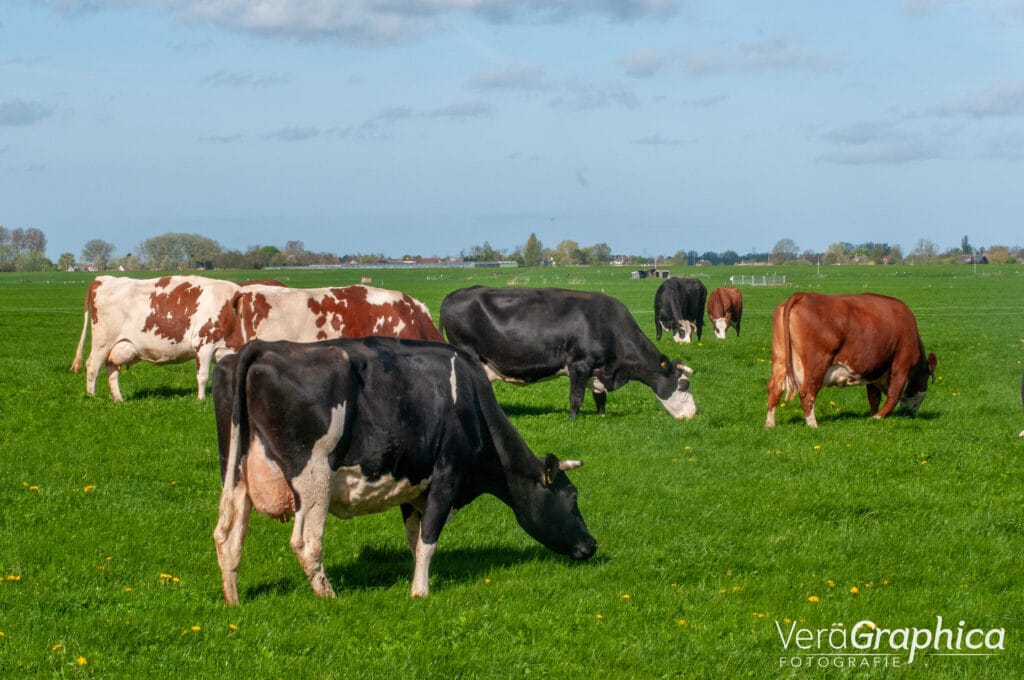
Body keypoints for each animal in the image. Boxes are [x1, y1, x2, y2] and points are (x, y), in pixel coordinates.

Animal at [71, 275, 249, 402]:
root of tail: (102, 279)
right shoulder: (203, 344)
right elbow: (203, 376)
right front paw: (201, 399)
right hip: (102, 342)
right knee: (93, 366)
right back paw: (92, 397)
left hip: (118, 346)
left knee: (112, 368)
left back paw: (118, 399)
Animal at [211, 336, 597, 604]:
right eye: (572, 497)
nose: (591, 545)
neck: (473, 406)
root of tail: (263, 347)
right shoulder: (447, 476)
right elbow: (429, 539)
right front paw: (420, 592)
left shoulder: (413, 487)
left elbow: (415, 538)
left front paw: (416, 579)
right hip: (313, 477)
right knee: (306, 542)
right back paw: (330, 597)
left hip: (235, 475)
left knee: (228, 535)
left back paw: (233, 600)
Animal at [438, 286, 696, 420]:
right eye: (684, 385)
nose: (694, 413)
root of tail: (455, 294)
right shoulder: (579, 364)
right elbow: (576, 397)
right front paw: (573, 421)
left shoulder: (598, 370)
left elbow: (599, 396)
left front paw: (601, 417)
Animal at [765, 292, 937, 428]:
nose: (912, 414)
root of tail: (802, 295)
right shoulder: (902, 363)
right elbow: (893, 395)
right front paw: (877, 417)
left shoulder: (874, 369)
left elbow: (873, 397)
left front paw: (872, 415)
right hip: (817, 363)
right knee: (807, 392)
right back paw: (813, 425)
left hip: (780, 359)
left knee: (775, 388)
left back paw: (770, 424)